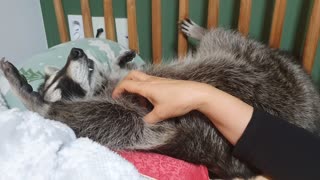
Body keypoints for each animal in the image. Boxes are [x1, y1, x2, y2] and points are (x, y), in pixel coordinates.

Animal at [1, 19, 320, 178]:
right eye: (63, 83)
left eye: (65, 74)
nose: (76, 52)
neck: (99, 86)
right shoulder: (150, 117)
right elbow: (121, 120)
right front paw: (41, 101)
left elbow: (123, 74)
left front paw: (119, 60)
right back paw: (41, 106)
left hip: (258, 62)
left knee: (223, 39)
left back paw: (204, 32)